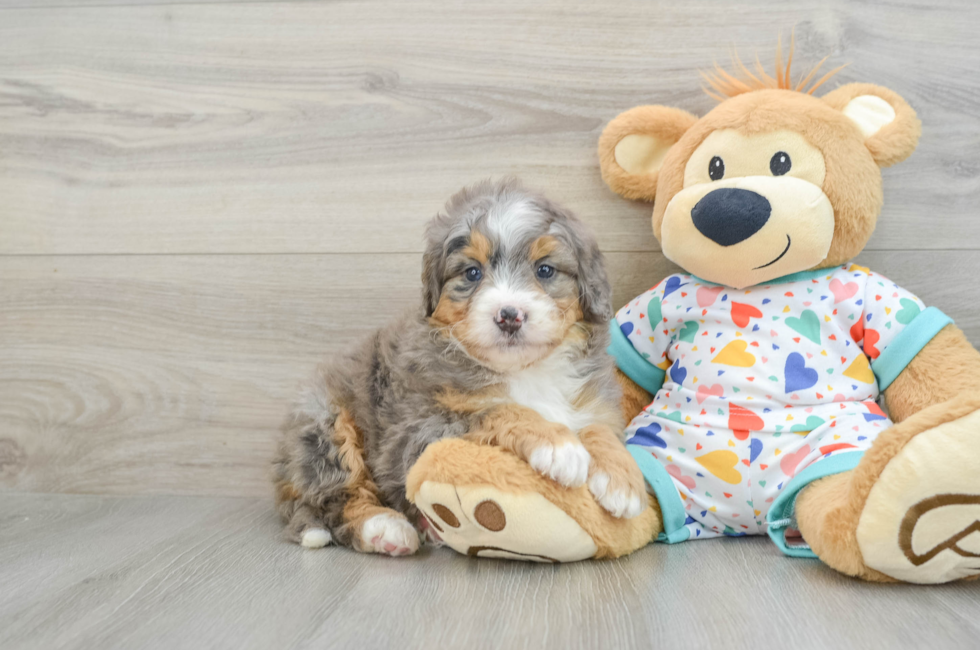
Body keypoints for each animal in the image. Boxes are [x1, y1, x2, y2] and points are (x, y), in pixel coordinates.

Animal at [272, 180, 648, 556]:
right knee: (336, 498)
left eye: (544, 270)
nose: (509, 315)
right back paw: (385, 528)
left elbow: (600, 427)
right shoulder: (416, 431)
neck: (524, 371)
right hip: (326, 426)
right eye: (472, 272)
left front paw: (622, 481)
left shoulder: (595, 399)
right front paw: (559, 446)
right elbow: (498, 410)